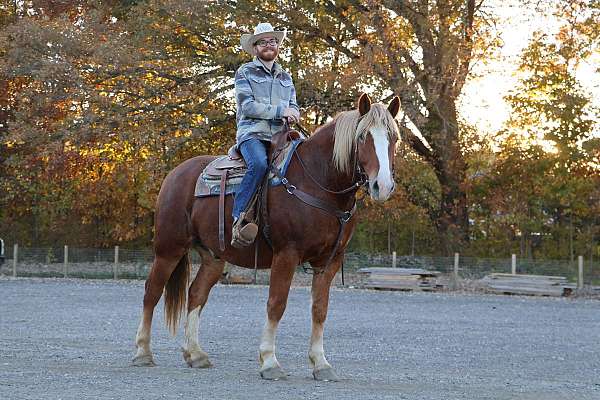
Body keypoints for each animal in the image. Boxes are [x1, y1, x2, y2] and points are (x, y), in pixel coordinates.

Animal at [134, 93, 400, 382]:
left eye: (394, 138)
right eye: (362, 136)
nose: (382, 186)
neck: (317, 181)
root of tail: (175, 174)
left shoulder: (329, 261)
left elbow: (320, 309)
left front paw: (321, 364)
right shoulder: (287, 254)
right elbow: (276, 304)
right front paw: (270, 362)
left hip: (213, 257)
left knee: (196, 294)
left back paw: (195, 354)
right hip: (169, 248)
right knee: (152, 292)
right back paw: (143, 352)